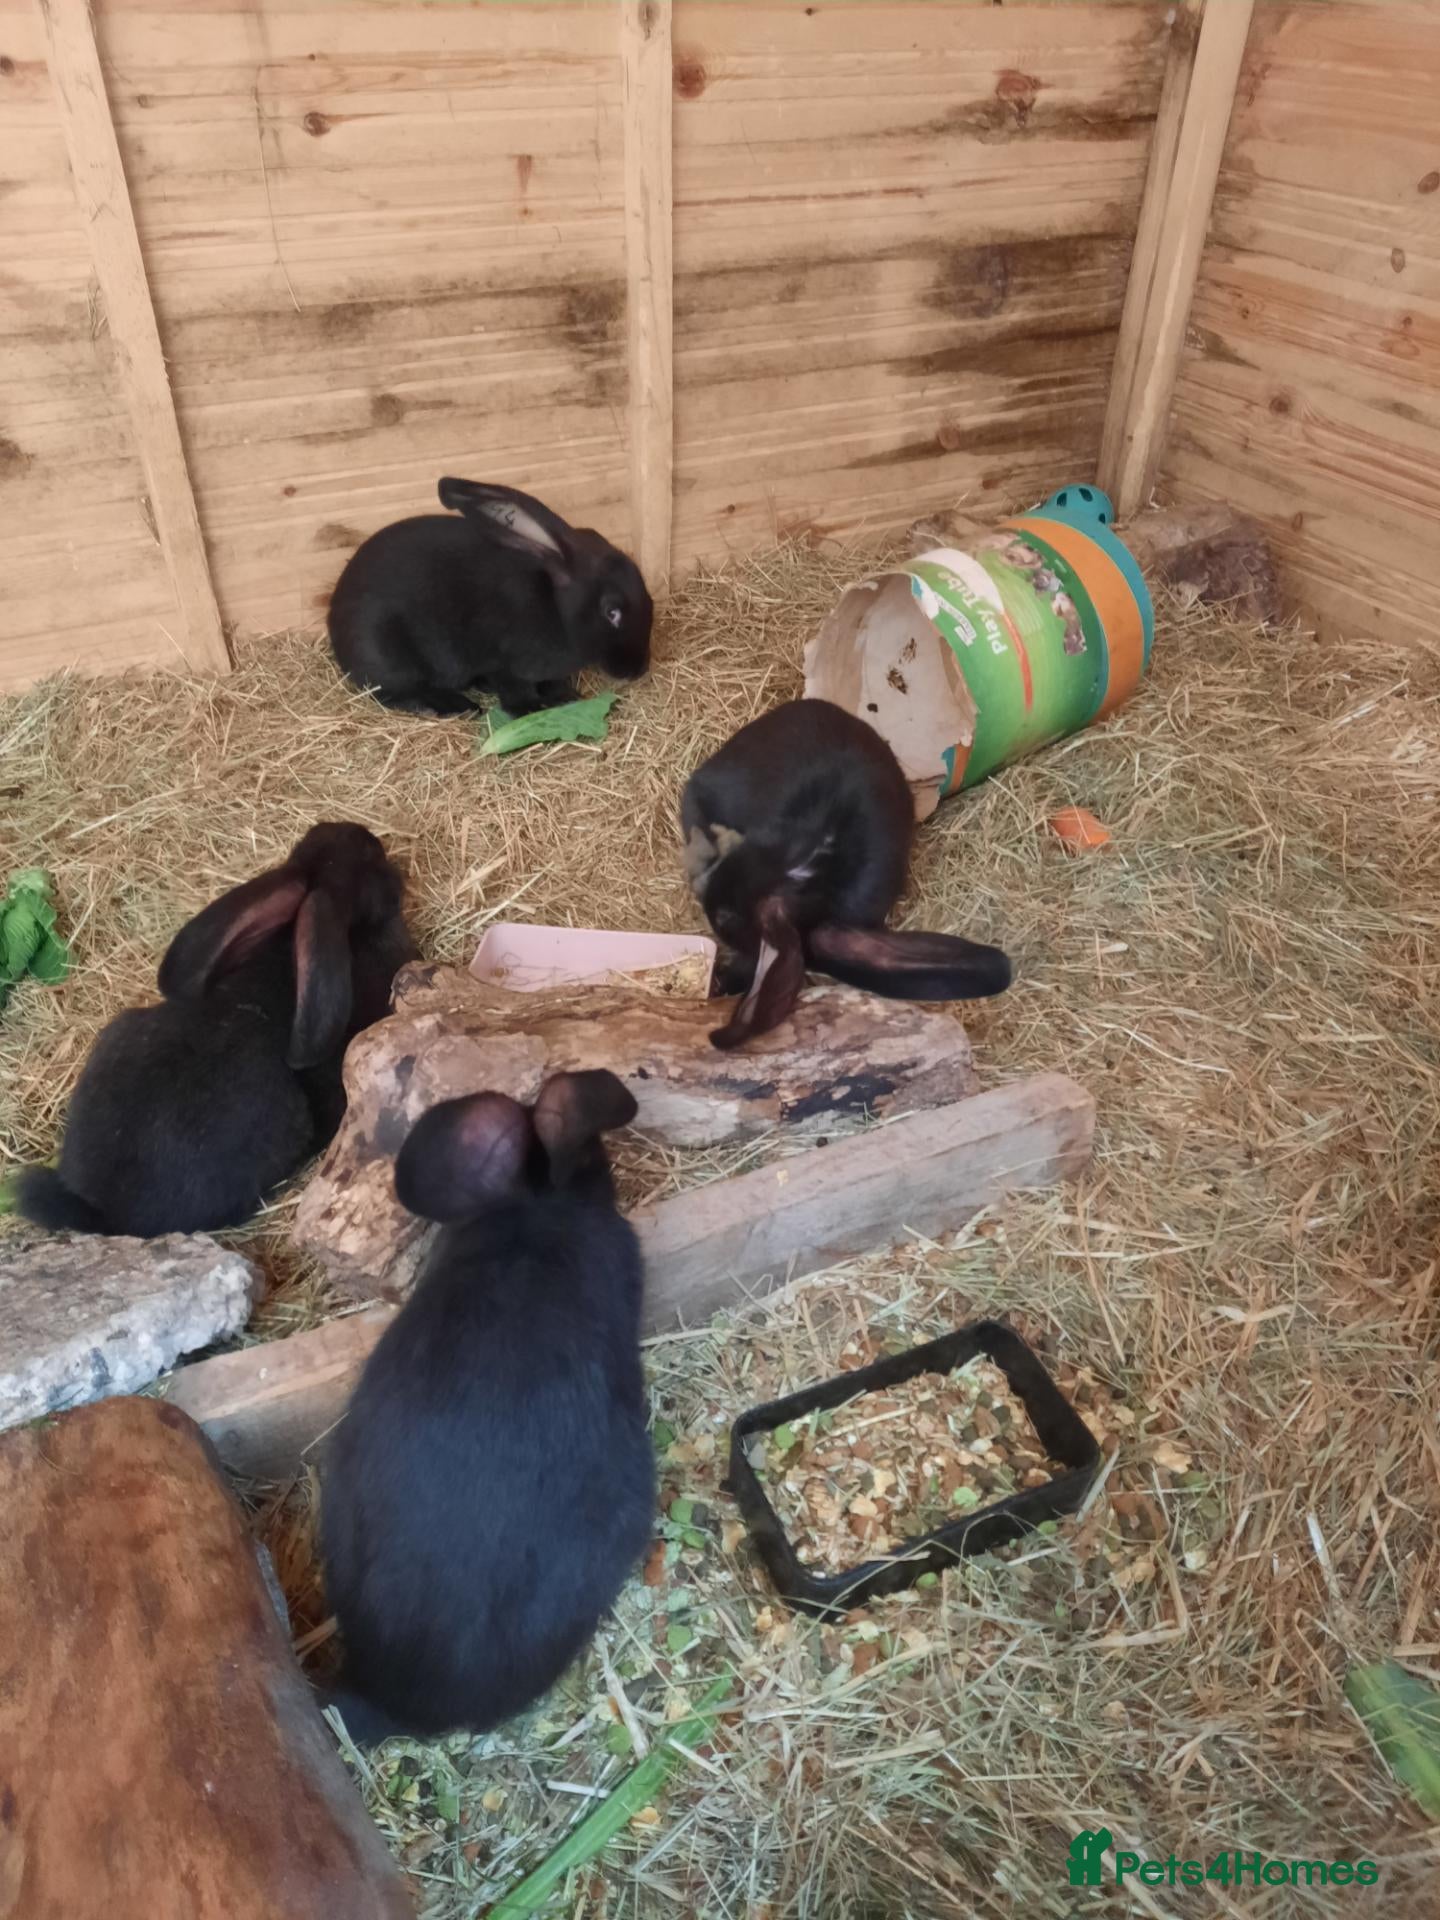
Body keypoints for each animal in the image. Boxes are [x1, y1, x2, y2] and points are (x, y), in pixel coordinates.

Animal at [327, 478, 653, 717]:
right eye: (611, 611)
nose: (638, 670)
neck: (557, 610)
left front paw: (566, 697)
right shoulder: (504, 665)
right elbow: (516, 692)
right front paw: (531, 710)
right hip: (387, 654)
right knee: (394, 692)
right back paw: (454, 706)